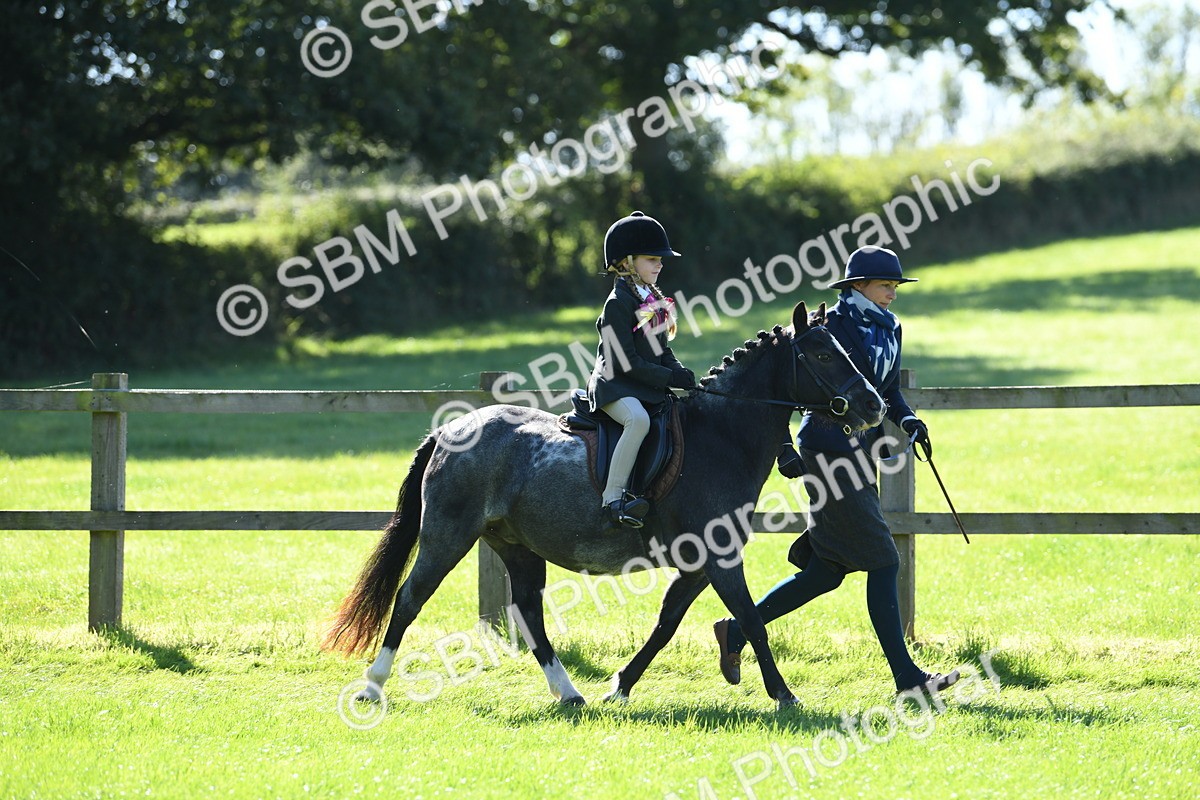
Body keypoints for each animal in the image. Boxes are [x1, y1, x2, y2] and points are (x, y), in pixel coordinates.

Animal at [321, 301, 886, 709]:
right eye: (823, 355)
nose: (874, 405)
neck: (723, 436)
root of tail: (450, 428)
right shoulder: (719, 557)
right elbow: (749, 618)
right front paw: (785, 695)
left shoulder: (700, 562)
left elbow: (667, 624)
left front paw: (621, 685)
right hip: (448, 536)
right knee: (410, 598)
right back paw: (371, 688)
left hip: (516, 546)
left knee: (529, 613)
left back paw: (569, 694)